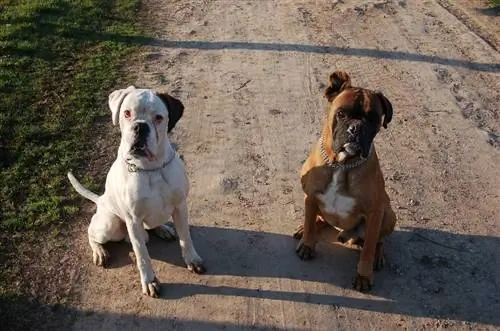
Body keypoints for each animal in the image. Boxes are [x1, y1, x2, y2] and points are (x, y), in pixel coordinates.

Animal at [292, 70, 398, 294]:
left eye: (373, 118)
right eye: (342, 113)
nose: (356, 127)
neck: (342, 165)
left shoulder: (374, 212)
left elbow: (368, 249)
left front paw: (364, 275)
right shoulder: (310, 196)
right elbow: (309, 220)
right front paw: (307, 242)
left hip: (388, 215)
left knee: (378, 241)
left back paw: (377, 257)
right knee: (316, 218)